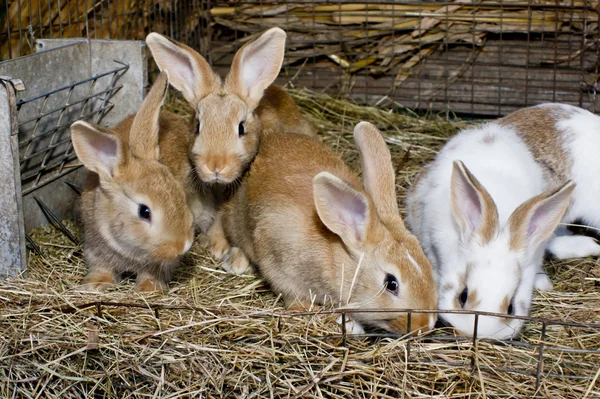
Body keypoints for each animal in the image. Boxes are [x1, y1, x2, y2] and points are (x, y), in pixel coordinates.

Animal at [71, 70, 214, 292]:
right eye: (144, 212)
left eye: (181, 195)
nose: (183, 246)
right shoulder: (95, 248)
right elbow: (102, 267)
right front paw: (96, 283)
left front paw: (148, 288)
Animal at [209, 122, 438, 334]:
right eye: (391, 284)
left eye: (428, 265)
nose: (427, 324)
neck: (336, 252)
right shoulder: (280, 264)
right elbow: (291, 294)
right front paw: (309, 310)